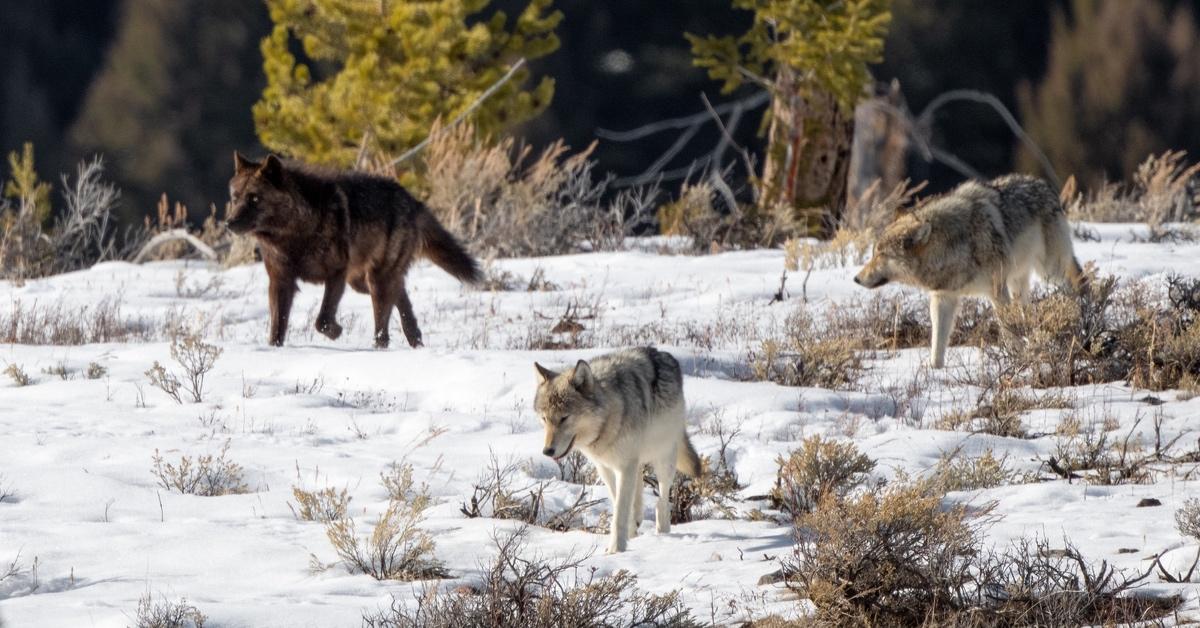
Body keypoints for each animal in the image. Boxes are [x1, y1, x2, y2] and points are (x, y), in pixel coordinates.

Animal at [226, 152, 480, 348]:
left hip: (374, 281)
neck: (295, 232)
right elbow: (277, 327)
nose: (229, 223)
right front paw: (274, 350)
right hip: (362, 282)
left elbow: (322, 320)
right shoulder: (280, 281)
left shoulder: (336, 274)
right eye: (235, 198)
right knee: (400, 295)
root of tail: (413, 201)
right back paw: (415, 339)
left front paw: (336, 332)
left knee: (383, 328)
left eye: (254, 198)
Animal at [535, 348, 700, 554]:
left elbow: (620, 511)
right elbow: (618, 502)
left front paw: (616, 549)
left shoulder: (624, 465)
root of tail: (663, 353)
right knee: (639, 486)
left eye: (564, 418)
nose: (547, 451)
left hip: (663, 457)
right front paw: (628, 532)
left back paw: (662, 531)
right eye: (544, 419)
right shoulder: (605, 467)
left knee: (662, 499)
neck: (609, 416)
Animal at [854, 172, 1089, 369]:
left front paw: (1018, 358)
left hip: (1050, 271)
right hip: (1018, 284)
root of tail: (1044, 184)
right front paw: (934, 370)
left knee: (1079, 285)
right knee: (1027, 312)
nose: (856, 278)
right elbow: (937, 342)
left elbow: (1008, 330)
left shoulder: (996, 291)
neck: (952, 248)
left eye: (881, 255)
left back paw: (1083, 319)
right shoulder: (943, 298)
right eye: (873, 253)